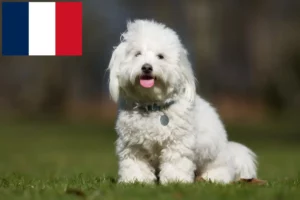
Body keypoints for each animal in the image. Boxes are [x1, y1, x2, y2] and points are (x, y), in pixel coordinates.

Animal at [106, 19, 256, 184]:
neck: (152, 106)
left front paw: (175, 180)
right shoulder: (133, 145)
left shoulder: (178, 142)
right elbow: (135, 164)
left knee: (222, 170)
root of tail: (231, 151)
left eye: (160, 56)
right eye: (137, 54)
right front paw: (135, 180)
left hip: (215, 157)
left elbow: (175, 162)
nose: (146, 67)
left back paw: (212, 178)